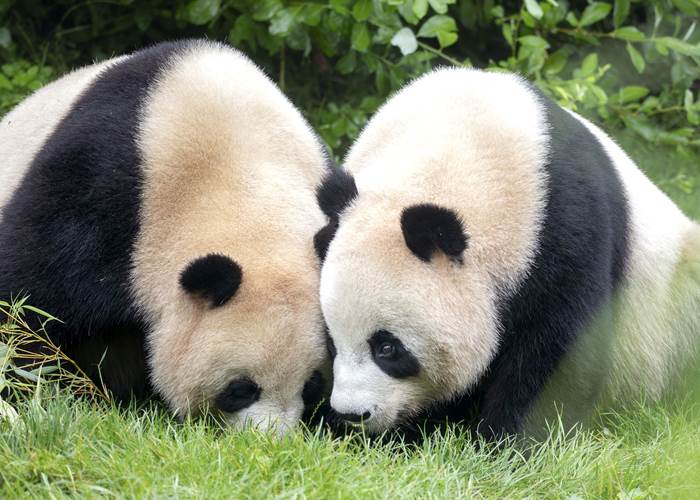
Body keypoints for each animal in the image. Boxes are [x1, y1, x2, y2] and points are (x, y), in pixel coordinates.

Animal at [315, 67, 700, 439]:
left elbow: (560, 349)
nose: (352, 415)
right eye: (332, 342)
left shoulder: (564, 228)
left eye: (388, 348)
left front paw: (507, 441)